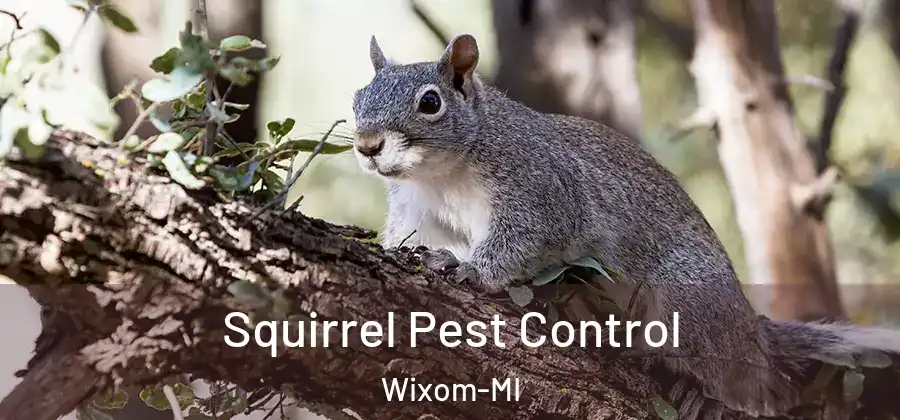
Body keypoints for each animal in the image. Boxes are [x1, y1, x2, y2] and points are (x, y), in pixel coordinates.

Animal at [351, 34, 900, 419]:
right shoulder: (418, 211)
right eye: (358, 97)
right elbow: (410, 237)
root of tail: (749, 330)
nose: (367, 145)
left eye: (430, 102)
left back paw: (705, 393)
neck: (442, 173)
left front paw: (469, 269)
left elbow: (523, 241)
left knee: (747, 384)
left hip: (687, 301)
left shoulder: (543, 190)